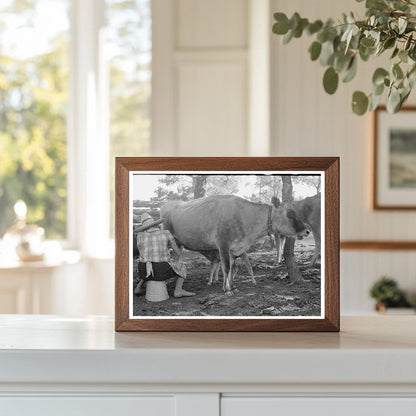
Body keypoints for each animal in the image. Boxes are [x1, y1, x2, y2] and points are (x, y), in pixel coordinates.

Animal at [160, 194, 308, 292]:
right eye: (290, 214)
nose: (307, 231)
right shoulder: (223, 244)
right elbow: (226, 267)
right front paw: (227, 289)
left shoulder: (234, 249)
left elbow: (231, 267)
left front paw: (232, 285)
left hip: (179, 244)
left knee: (176, 260)